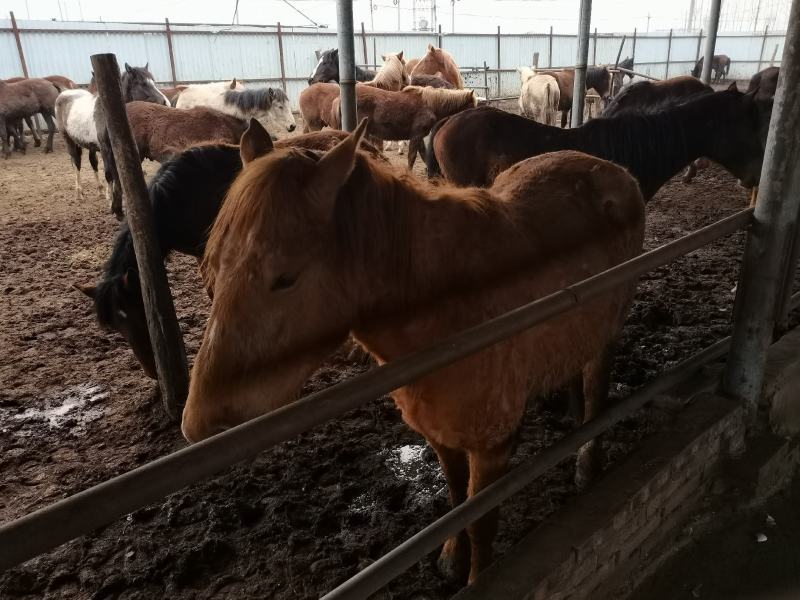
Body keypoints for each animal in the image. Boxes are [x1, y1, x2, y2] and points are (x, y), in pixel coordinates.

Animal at [55, 63, 169, 207]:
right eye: (143, 83)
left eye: (153, 81)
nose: (166, 102)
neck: (110, 116)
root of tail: (63, 94)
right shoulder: (105, 149)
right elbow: (109, 173)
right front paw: (111, 199)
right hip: (69, 141)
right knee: (76, 163)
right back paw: (79, 193)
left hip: (90, 146)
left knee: (93, 163)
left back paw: (99, 191)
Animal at [180, 119, 646, 586]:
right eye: (211, 268)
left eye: (285, 278)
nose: (199, 425)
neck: (450, 312)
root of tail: (613, 169)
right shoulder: (439, 434)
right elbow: (457, 500)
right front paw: (451, 558)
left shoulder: (491, 448)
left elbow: (481, 524)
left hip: (609, 332)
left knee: (596, 389)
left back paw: (588, 462)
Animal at [330, 85, 476, 169]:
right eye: (471, 106)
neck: (430, 105)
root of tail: (339, 99)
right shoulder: (416, 135)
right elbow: (412, 157)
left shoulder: (419, 137)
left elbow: (423, 156)